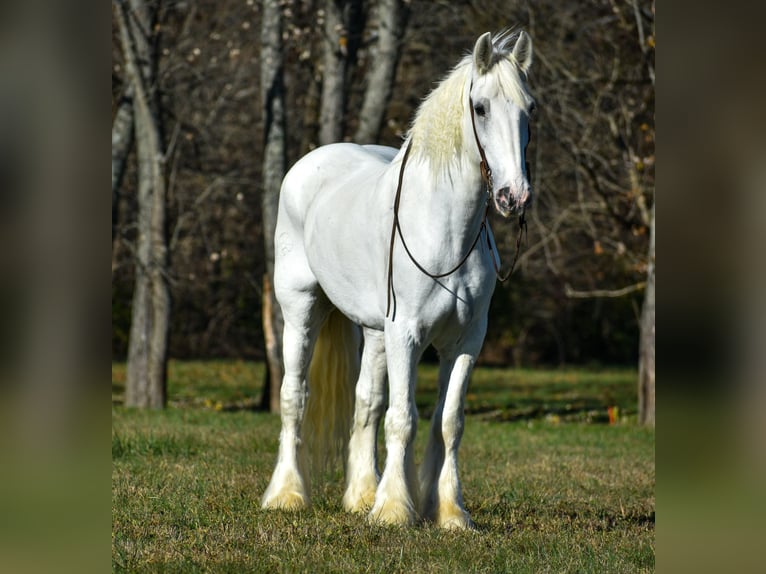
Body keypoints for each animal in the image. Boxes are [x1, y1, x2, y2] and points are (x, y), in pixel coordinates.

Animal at [262, 29, 536, 528]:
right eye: (481, 107)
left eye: (530, 108)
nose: (514, 196)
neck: (443, 230)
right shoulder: (406, 334)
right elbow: (402, 417)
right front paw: (393, 509)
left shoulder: (466, 341)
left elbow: (447, 422)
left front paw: (449, 512)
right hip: (301, 312)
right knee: (295, 395)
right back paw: (286, 494)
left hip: (375, 333)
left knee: (366, 402)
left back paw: (360, 495)